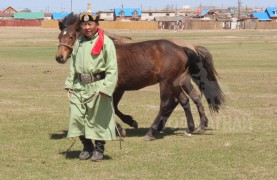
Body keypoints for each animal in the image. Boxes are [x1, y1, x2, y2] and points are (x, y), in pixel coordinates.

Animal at [55, 13, 223, 141]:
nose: (59, 57)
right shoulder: (116, 88)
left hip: (167, 82)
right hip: (176, 82)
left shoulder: (116, 87)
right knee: (185, 100)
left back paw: (152, 132)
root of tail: (183, 48)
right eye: (59, 37)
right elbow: (113, 107)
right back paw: (193, 127)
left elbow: (113, 107)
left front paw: (125, 126)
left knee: (166, 104)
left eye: (71, 36)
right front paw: (128, 124)